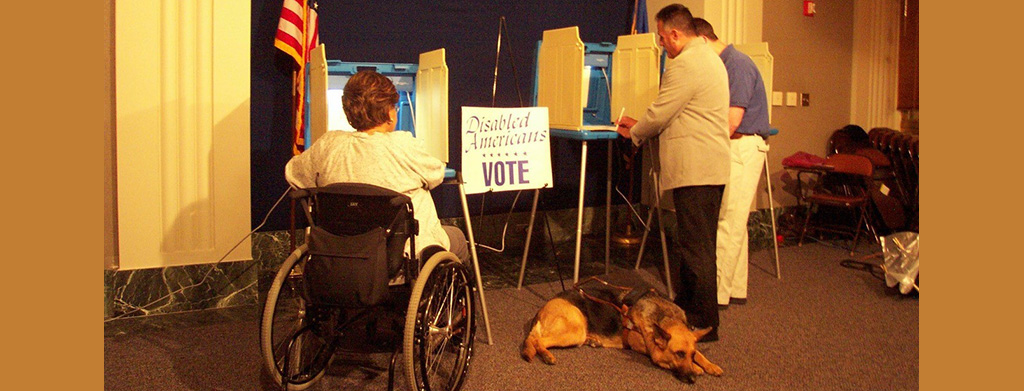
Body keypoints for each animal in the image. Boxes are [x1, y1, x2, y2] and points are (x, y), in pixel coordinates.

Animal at [520, 280, 720, 384]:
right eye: (679, 354)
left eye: (690, 354)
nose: (692, 379)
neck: (666, 316)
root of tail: (542, 309)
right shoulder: (647, 347)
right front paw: (697, 368)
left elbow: (700, 354)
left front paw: (709, 365)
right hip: (575, 330)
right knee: (538, 340)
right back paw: (546, 355)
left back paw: (593, 340)